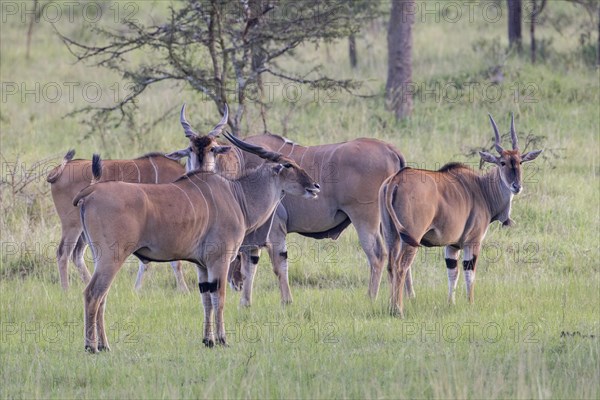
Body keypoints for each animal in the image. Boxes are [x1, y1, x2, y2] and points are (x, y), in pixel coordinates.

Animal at [46, 108, 230, 292]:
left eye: (213, 148)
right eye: (191, 149)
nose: (202, 167)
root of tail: (59, 170)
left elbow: (147, 262)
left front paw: (137, 289)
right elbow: (172, 261)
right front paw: (183, 290)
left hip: (84, 229)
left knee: (77, 254)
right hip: (72, 224)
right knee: (63, 252)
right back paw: (65, 291)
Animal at [73, 134, 322, 350]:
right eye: (288, 166)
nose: (315, 186)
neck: (237, 195)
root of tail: (90, 191)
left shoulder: (202, 265)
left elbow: (206, 299)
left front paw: (208, 340)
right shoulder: (219, 260)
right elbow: (219, 298)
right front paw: (222, 340)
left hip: (101, 258)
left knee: (102, 297)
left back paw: (105, 346)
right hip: (111, 258)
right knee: (92, 294)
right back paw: (91, 346)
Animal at [380, 114, 544, 318]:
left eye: (520, 162)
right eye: (502, 162)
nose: (517, 186)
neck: (482, 189)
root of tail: (395, 180)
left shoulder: (452, 245)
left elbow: (452, 273)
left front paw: (451, 303)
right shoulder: (472, 242)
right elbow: (469, 272)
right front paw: (470, 303)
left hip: (391, 235)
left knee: (390, 266)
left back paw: (390, 307)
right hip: (411, 238)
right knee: (401, 266)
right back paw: (398, 310)